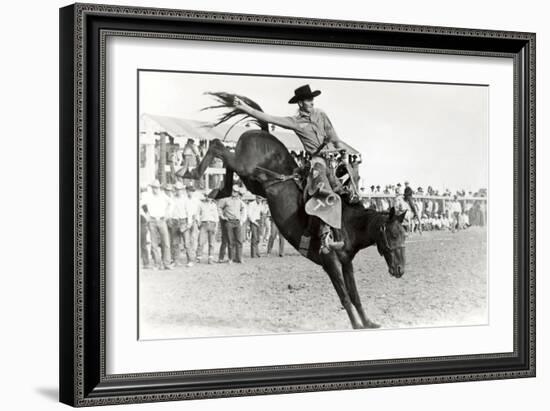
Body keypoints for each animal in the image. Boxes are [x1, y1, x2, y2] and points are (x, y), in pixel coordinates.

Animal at [188, 91, 408, 330]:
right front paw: (357, 325)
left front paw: (368, 322)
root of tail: (262, 131)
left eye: (404, 235)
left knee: (226, 162)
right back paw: (191, 173)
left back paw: (218, 190)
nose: (400, 270)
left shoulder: (346, 262)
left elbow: (355, 295)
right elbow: (344, 296)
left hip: (252, 180)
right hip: (245, 167)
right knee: (217, 145)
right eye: (393, 234)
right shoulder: (330, 262)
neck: (346, 223)